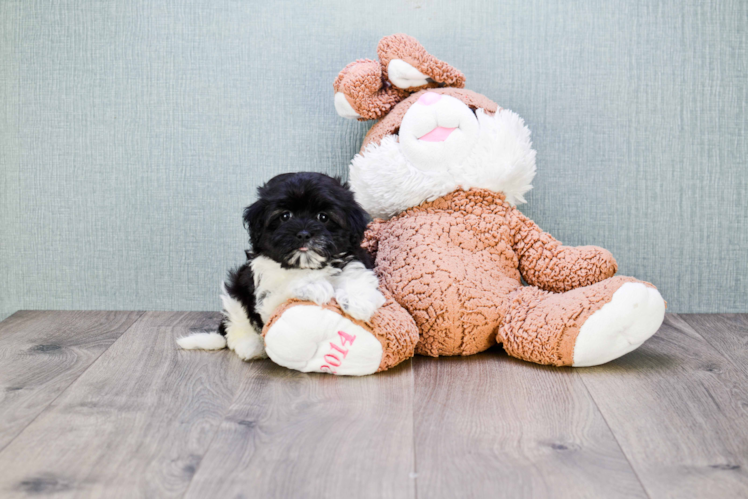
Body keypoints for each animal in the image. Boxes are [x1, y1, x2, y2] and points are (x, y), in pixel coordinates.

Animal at [178, 172, 382, 360]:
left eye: (323, 217)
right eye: (285, 216)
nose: (304, 234)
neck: (307, 265)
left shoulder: (353, 259)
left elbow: (356, 275)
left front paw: (357, 300)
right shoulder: (267, 301)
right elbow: (288, 282)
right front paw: (313, 285)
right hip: (235, 291)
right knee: (236, 321)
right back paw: (250, 346)